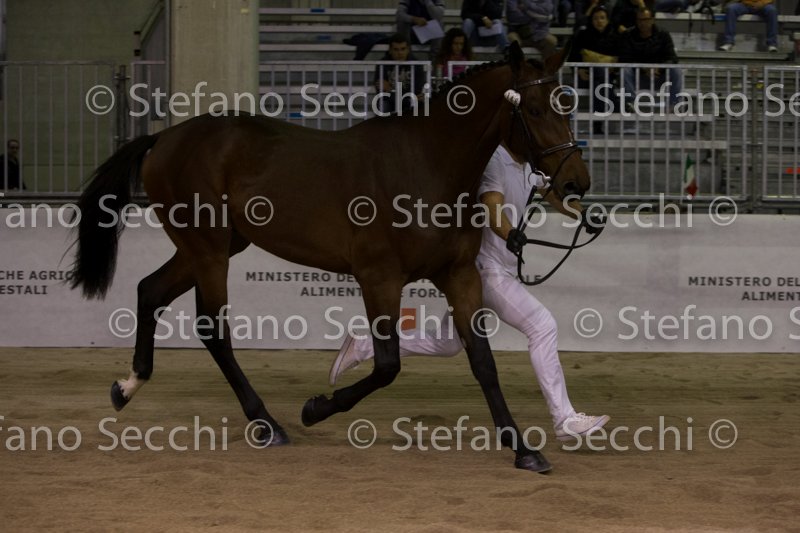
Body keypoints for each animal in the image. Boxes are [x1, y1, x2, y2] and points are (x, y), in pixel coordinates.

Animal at [70, 42, 590, 472]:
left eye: (569, 105)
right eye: (536, 109)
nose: (576, 184)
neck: (427, 164)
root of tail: (165, 139)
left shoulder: (459, 274)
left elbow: (482, 361)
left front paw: (524, 449)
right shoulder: (379, 277)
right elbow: (387, 364)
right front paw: (315, 408)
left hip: (210, 247)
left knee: (150, 291)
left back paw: (126, 387)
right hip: (209, 250)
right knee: (211, 327)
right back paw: (267, 423)